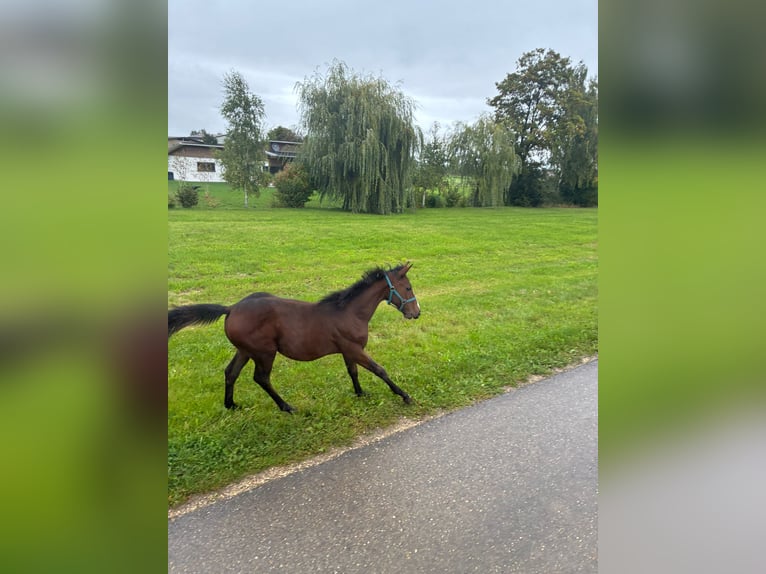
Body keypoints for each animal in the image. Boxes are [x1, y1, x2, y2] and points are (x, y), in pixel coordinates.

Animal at [168, 263, 420, 413]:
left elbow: (353, 372)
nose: (416, 313)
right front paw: (405, 395)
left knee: (231, 373)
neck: (350, 312)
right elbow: (379, 370)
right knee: (261, 378)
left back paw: (231, 405)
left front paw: (360, 393)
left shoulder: (349, 350)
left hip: (245, 350)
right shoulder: (354, 349)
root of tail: (231, 309)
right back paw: (286, 407)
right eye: (408, 288)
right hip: (264, 352)